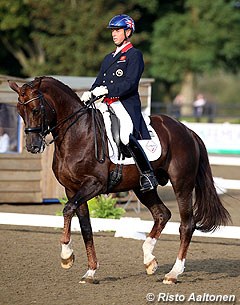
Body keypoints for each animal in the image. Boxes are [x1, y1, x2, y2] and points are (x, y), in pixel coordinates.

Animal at [9, 76, 231, 282]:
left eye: (35, 110)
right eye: (19, 111)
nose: (33, 146)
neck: (77, 134)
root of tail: (187, 130)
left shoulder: (94, 184)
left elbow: (67, 210)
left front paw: (66, 256)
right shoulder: (72, 190)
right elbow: (85, 227)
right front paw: (90, 271)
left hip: (182, 184)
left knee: (187, 224)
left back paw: (173, 273)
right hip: (143, 188)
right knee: (162, 214)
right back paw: (149, 260)